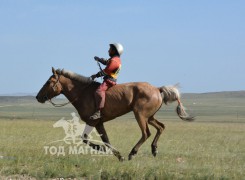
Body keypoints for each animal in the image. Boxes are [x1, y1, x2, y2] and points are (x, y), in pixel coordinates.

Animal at [36, 67, 194, 160]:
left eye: (49, 82)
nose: (38, 97)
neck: (82, 93)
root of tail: (157, 89)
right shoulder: (99, 123)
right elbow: (105, 139)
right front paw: (117, 155)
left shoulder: (92, 121)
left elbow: (85, 138)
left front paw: (102, 149)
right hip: (150, 117)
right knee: (161, 127)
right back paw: (154, 150)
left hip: (140, 115)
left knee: (146, 133)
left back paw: (132, 153)